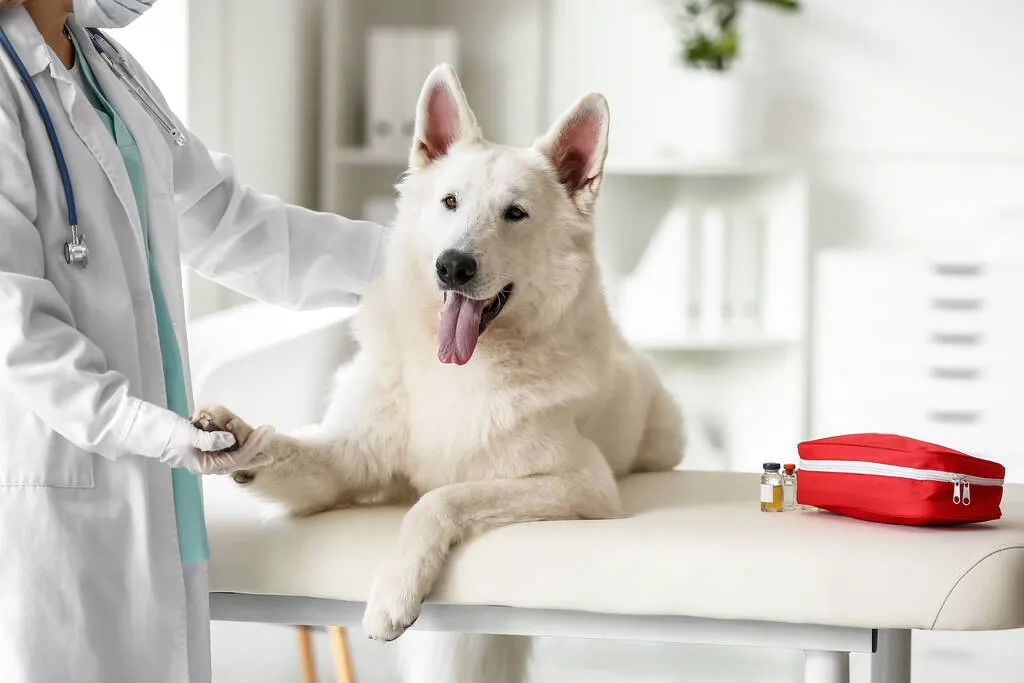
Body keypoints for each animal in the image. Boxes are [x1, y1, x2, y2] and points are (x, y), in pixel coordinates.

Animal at [195, 62, 684, 679]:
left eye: (515, 213)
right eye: (450, 202)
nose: (452, 266)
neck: (456, 368)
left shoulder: (583, 484)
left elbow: (440, 499)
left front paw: (394, 593)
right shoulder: (344, 464)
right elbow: (293, 452)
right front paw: (234, 435)